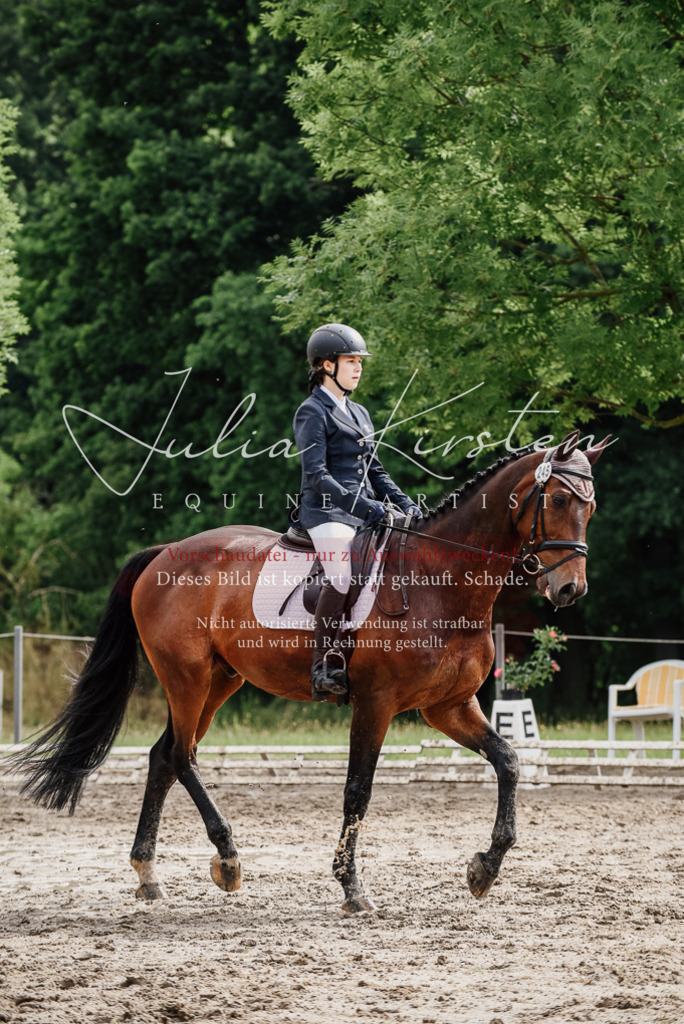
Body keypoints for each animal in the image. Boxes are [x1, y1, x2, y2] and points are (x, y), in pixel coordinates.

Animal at [11, 429, 609, 913]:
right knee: (180, 755)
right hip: (187, 677)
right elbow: (357, 791)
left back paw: (149, 876)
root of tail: (166, 552)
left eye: (592, 507)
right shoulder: (376, 703)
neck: (439, 583)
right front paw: (351, 888)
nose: (570, 589)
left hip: (221, 680)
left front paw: (485, 868)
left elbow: (509, 761)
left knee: (163, 757)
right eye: (558, 499)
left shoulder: (448, 707)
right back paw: (228, 859)